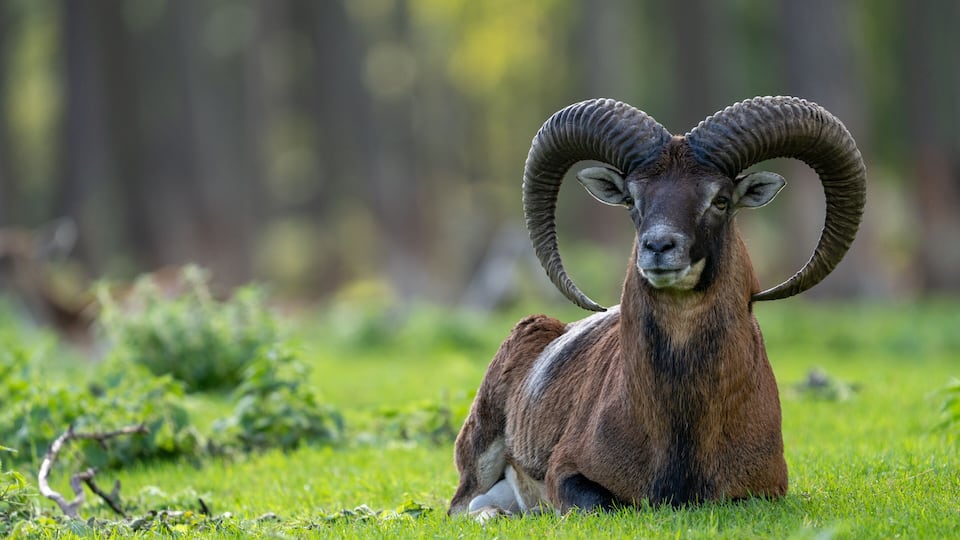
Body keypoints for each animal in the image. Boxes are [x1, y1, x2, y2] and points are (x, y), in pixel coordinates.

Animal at [448, 96, 866, 517]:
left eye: (720, 200)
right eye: (632, 199)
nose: (659, 246)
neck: (681, 424)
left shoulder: (766, 489)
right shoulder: (566, 473)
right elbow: (600, 503)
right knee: (464, 505)